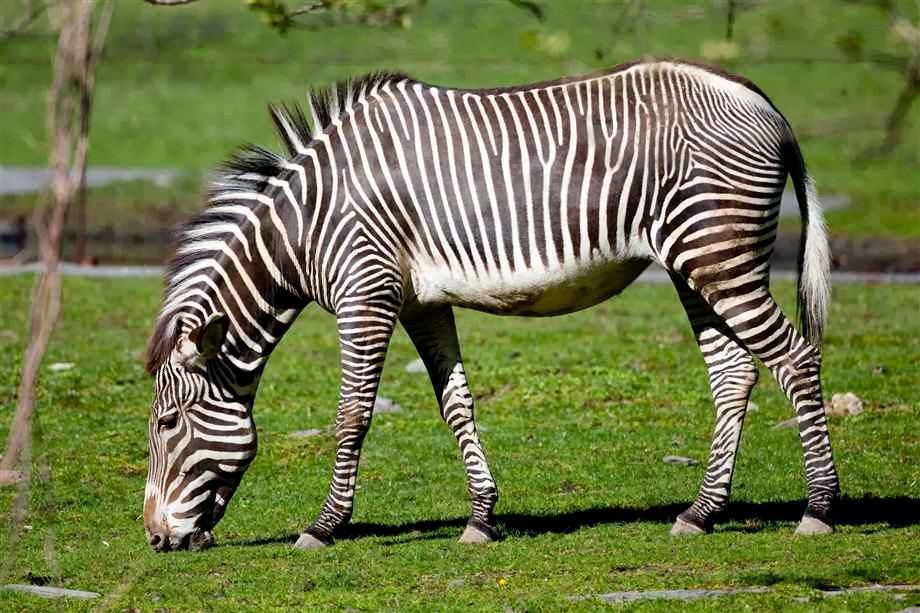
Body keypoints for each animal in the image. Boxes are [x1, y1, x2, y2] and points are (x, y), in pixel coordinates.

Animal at [143, 59, 839, 552]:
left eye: (167, 424)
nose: (154, 538)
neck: (306, 225)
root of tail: (759, 98)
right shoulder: (420, 301)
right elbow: (456, 405)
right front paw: (481, 518)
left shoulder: (366, 292)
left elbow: (351, 416)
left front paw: (323, 526)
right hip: (695, 264)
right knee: (735, 373)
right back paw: (701, 513)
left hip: (717, 250)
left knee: (795, 358)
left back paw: (819, 510)